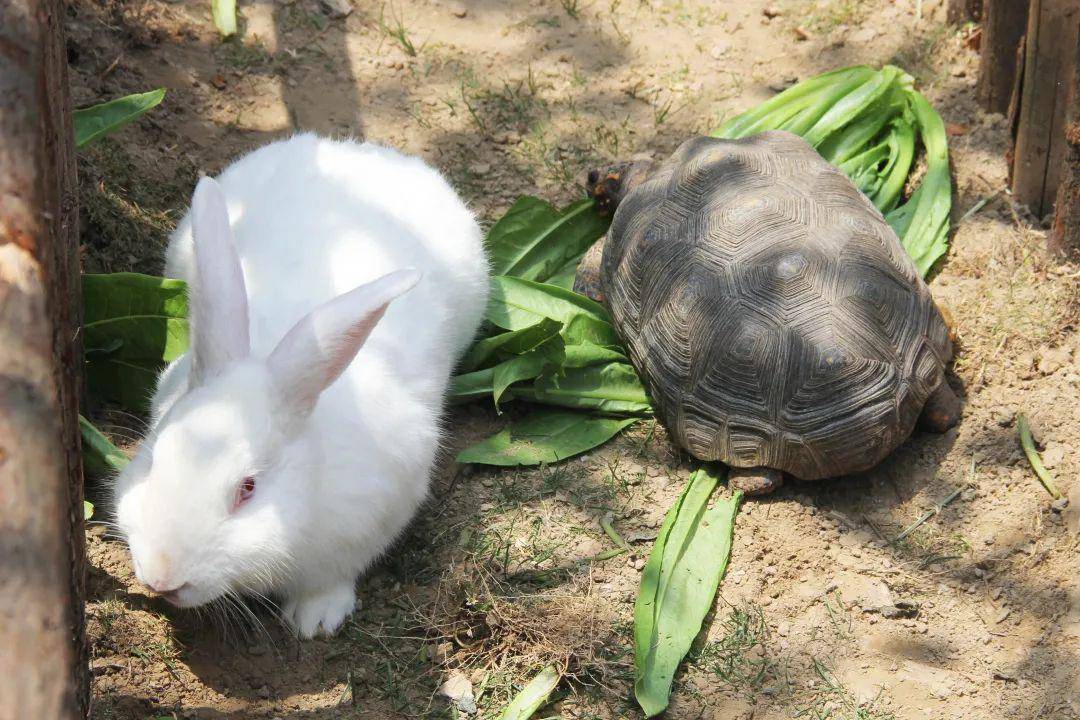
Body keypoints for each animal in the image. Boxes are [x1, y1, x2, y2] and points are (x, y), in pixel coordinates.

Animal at [110, 133, 490, 634]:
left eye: (248, 489)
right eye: (154, 457)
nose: (161, 575)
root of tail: (355, 150)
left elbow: (333, 576)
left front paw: (315, 619)